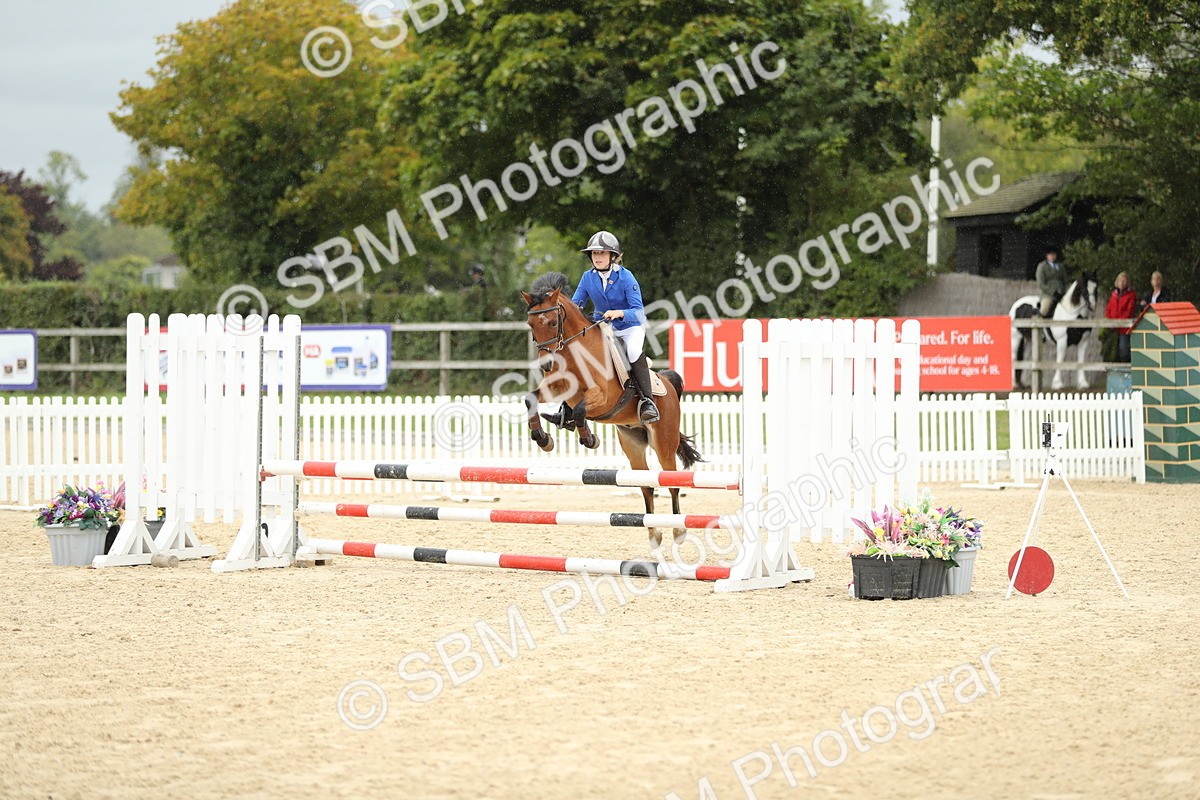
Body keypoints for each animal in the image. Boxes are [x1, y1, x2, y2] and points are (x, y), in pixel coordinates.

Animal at [521, 272, 703, 551]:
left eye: (552, 322)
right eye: (532, 325)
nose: (547, 364)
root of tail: (669, 385)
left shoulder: (603, 397)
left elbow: (581, 410)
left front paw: (589, 438)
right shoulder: (555, 389)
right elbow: (531, 399)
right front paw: (544, 438)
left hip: (664, 442)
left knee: (671, 482)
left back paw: (678, 531)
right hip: (633, 444)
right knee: (646, 485)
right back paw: (654, 534)